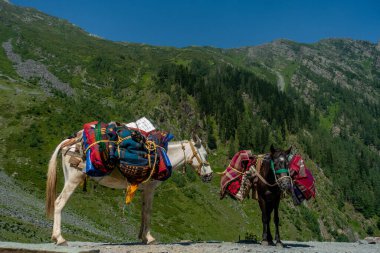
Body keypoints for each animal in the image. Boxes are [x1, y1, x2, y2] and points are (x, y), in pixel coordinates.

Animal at [45, 131, 212, 246]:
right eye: (204, 154)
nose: (209, 175)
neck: (162, 157)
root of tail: (70, 142)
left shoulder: (144, 190)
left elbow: (144, 212)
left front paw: (143, 237)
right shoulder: (150, 189)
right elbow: (148, 212)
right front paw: (150, 238)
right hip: (73, 180)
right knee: (59, 203)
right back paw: (59, 238)